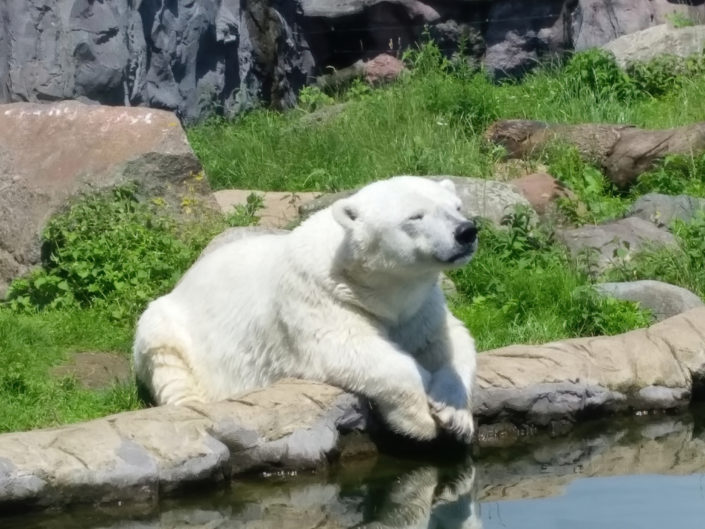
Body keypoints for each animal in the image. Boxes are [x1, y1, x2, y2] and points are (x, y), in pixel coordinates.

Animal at [133, 176, 478, 442]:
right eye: (415, 216)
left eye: (456, 207)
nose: (466, 231)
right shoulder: (320, 296)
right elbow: (351, 348)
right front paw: (421, 417)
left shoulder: (420, 307)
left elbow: (449, 341)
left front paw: (455, 413)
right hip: (165, 326)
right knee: (169, 365)